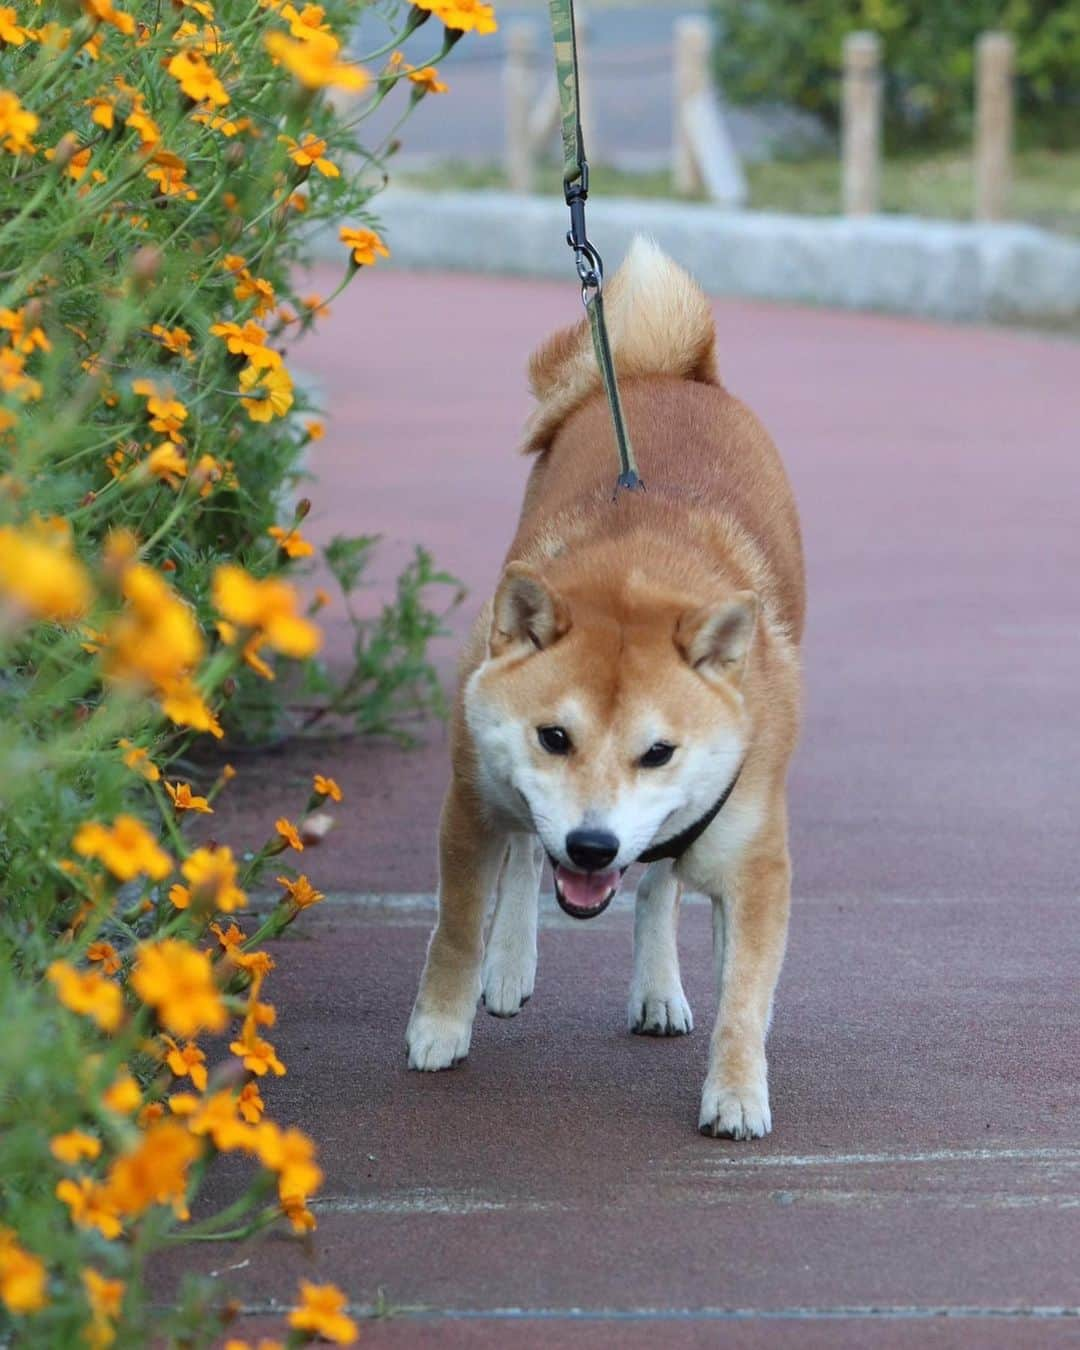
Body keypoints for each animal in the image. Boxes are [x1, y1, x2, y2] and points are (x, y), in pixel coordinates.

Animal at [405, 237, 799, 1134]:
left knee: (658, 887)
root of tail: (670, 374)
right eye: (555, 736)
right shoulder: (469, 805)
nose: (591, 845)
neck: (638, 565)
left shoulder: (756, 860)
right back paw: (510, 964)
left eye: (659, 753)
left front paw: (736, 1091)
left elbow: (744, 994)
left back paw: (658, 986)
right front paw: (439, 1024)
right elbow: (457, 926)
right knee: (525, 857)